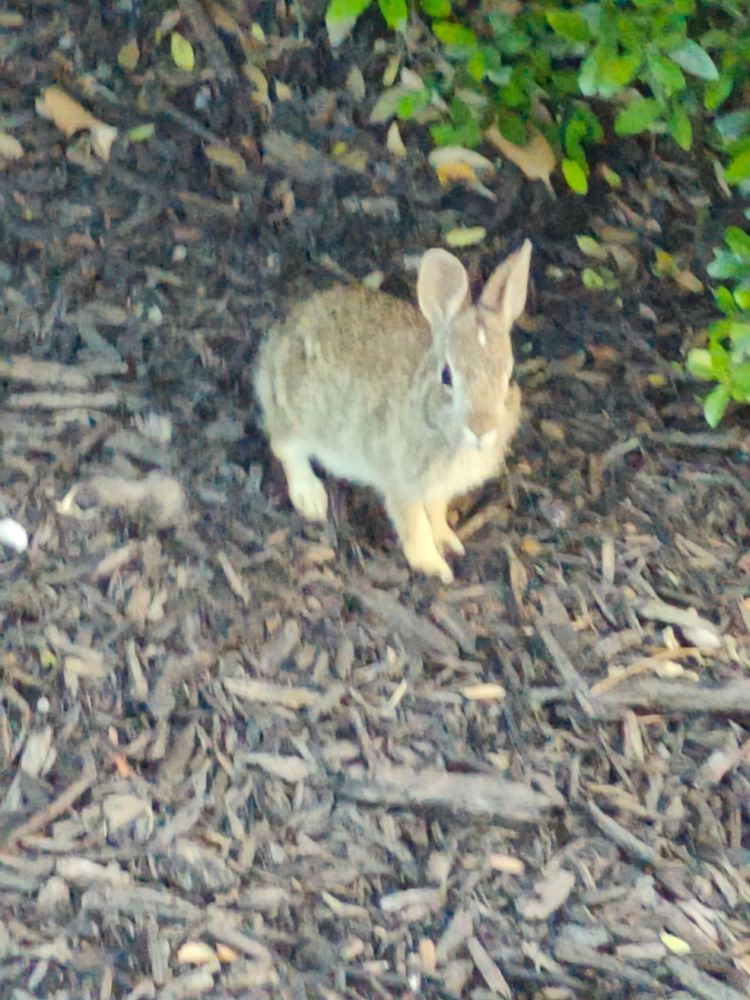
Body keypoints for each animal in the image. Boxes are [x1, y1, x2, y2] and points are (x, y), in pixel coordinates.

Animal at [254, 240, 531, 584]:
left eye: (510, 377)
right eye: (446, 376)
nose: (481, 429)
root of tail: (277, 343)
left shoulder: (436, 489)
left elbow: (436, 514)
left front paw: (448, 541)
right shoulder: (402, 483)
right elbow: (415, 526)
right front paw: (434, 566)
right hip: (296, 413)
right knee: (286, 448)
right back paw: (311, 499)